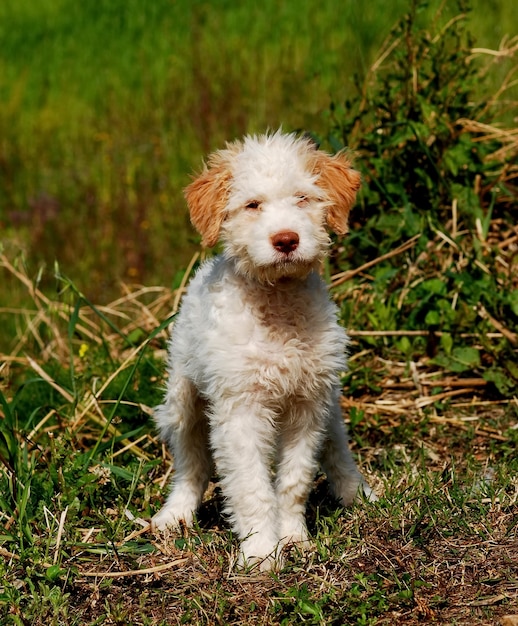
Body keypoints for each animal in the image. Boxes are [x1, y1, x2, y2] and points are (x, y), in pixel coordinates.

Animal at [153, 132, 374, 572]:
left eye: (303, 198)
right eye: (252, 205)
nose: (286, 240)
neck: (279, 304)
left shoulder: (308, 405)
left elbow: (293, 480)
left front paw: (294, 539)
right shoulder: (240, 410)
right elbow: (251, 486)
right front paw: (260, 553)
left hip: (329, 406)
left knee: (337, 449)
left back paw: (358, 492)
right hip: (184, 402)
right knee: (191, 465)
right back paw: (175, 515)